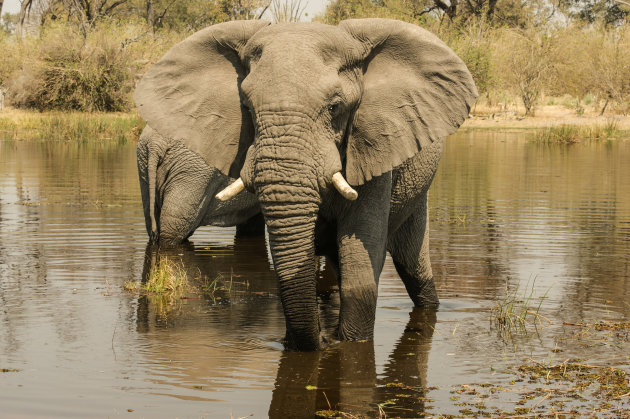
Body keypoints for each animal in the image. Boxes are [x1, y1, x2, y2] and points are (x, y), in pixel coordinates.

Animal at [135, 18, 478, 352]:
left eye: (335, 107)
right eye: (247, 108)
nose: (323, 341)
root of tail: (152, 144)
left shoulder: (373, 142)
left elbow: (359, 251)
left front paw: (349, 342)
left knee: (412, 263)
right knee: (171, 232)